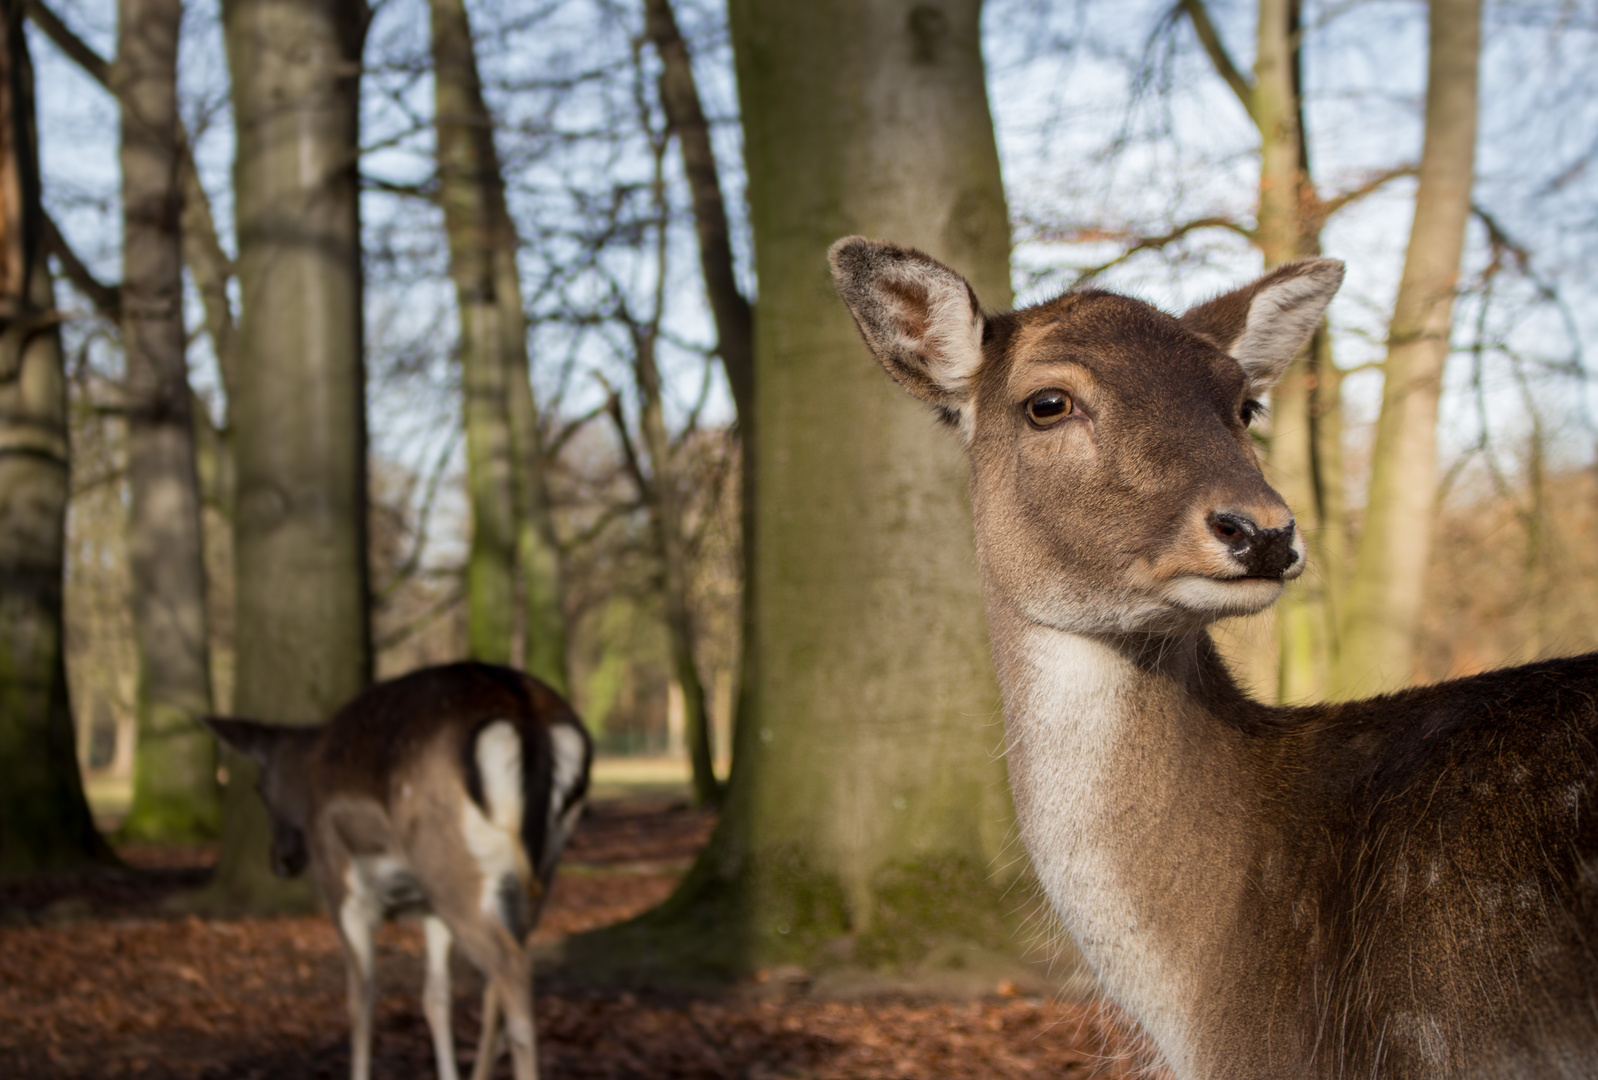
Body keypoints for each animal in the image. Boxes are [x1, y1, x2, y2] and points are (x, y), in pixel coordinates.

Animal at [204, 661, 594, 1080]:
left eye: (259, 788)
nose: (280, 860)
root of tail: (524, 713)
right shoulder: (429, 909)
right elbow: (435, 998)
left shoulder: (341, 887)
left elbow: (360, 999)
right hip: (538, 872)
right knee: (499, 980)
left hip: (451, 866)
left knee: (512, 968)